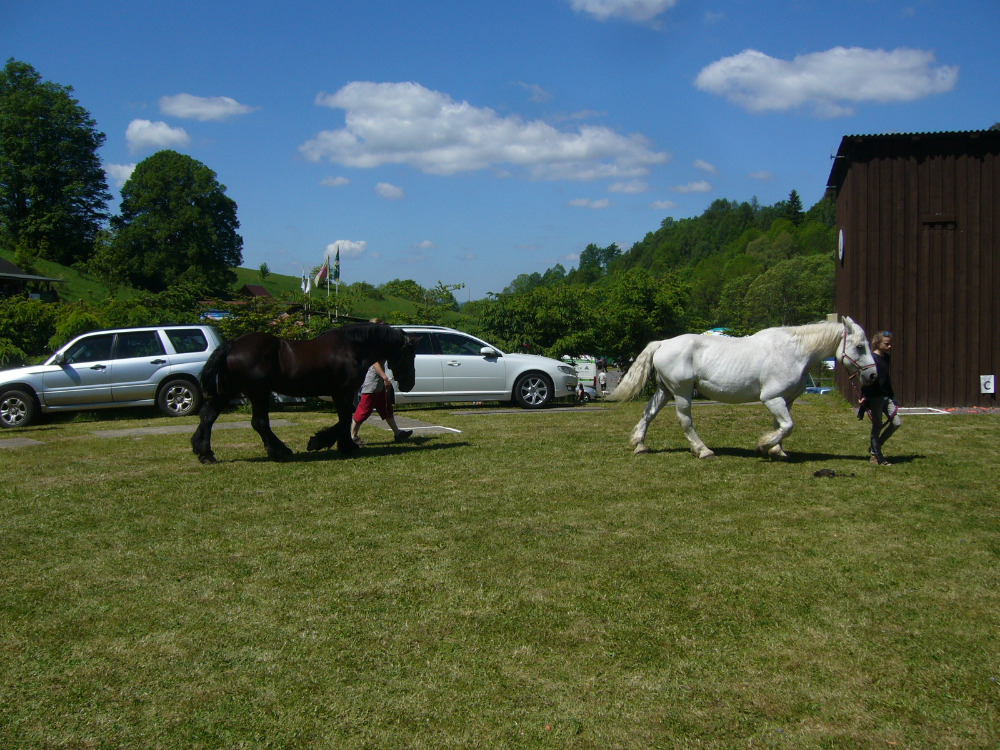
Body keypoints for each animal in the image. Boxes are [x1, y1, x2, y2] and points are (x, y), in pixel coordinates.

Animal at [191, 324, 418, 464]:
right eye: (409, 355)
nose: (409, 383)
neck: (351, 349)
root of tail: (233, 344)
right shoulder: (342, 392)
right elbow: (345, 418)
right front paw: (328, 442)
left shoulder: (341, 393)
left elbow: (346, 418)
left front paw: (342, 443)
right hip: (258, 392)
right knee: (259, 422)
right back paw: (280, 451)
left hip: (229, 390)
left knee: (209, 416)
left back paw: (205, 453)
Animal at [608, 318, 876, 458]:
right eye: (860, 346)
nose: (873, 375)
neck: (794, 352)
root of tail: (663, 343)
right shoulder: (772, 398)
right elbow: (788, 426)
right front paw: (764, 445)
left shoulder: (784, 400)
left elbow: (782, 425)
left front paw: (777, 450)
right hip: (682, 392)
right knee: (685, 421)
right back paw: (703, 450)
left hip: (665, 390)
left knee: (648, 413)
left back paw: (640, 445)